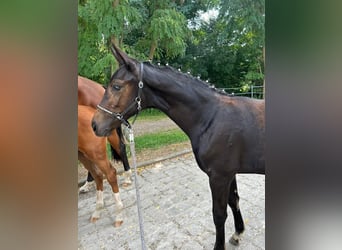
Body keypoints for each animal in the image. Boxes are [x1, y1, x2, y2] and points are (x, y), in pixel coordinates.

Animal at [91, 45, 264, 250]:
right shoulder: (229, 174)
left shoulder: (219, 177)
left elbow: (219, 215)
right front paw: (238, 233)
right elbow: (234, 201)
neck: (211, 116)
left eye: (117, 86)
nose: (95, 125)